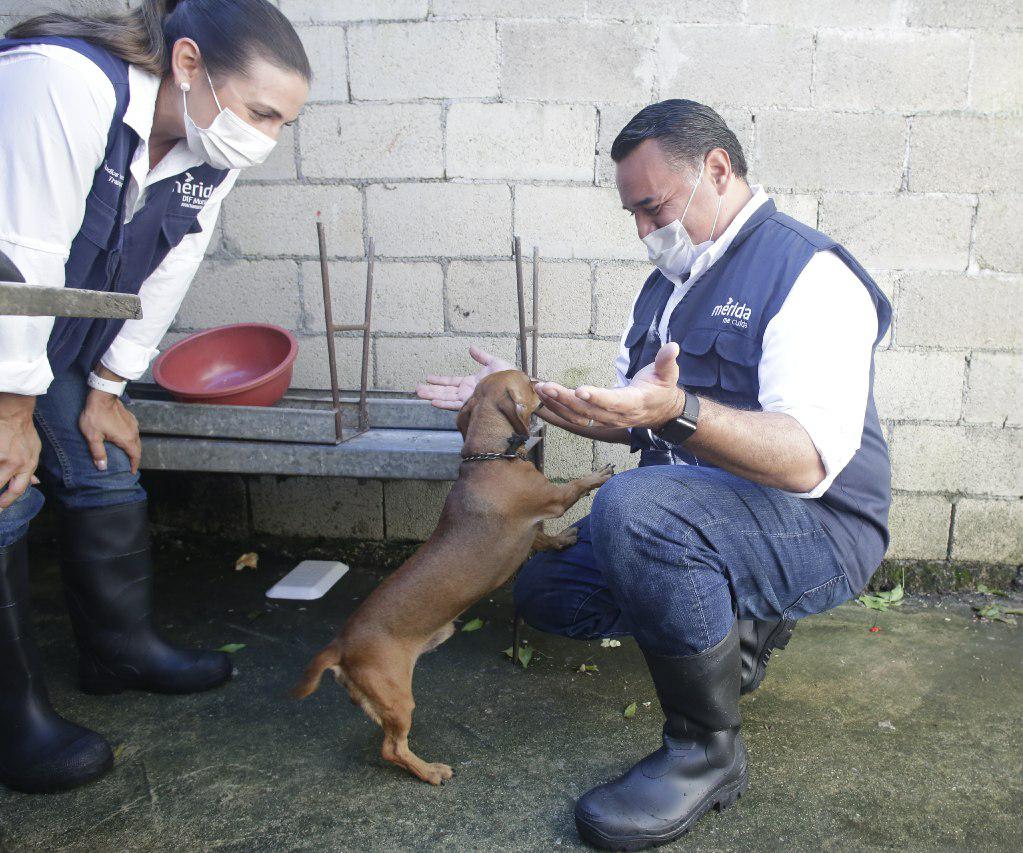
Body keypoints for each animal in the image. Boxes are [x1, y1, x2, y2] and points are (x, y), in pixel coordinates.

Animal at [292, 370, 609, 785]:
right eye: (527, 381)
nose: (540, 381)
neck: (489, 458)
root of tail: (341, 645)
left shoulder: (532, 531)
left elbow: (545, 538)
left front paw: (564, 540)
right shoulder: (551, 501)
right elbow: (575, 487)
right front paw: (599, 475)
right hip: (396, 694)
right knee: (392, 748)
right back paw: (429, 772)